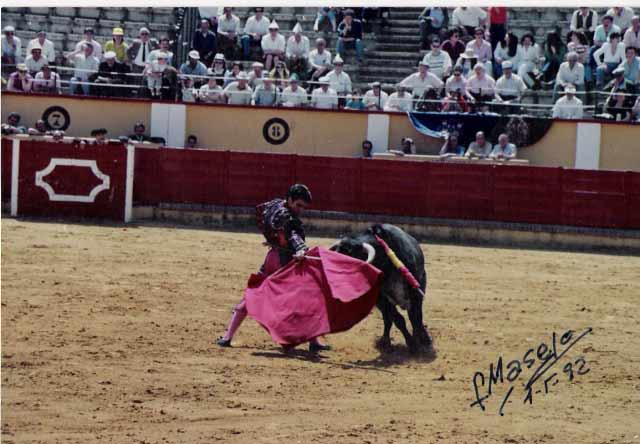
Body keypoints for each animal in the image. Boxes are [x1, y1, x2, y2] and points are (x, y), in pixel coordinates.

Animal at [332, 224, 432, 352]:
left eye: (350, 258)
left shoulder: (416, 292)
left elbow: (416, 317)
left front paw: (422, 341)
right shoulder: (381, 298)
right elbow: (398, 319)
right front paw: (412, 343)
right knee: (387, 319)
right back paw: (385, 341)